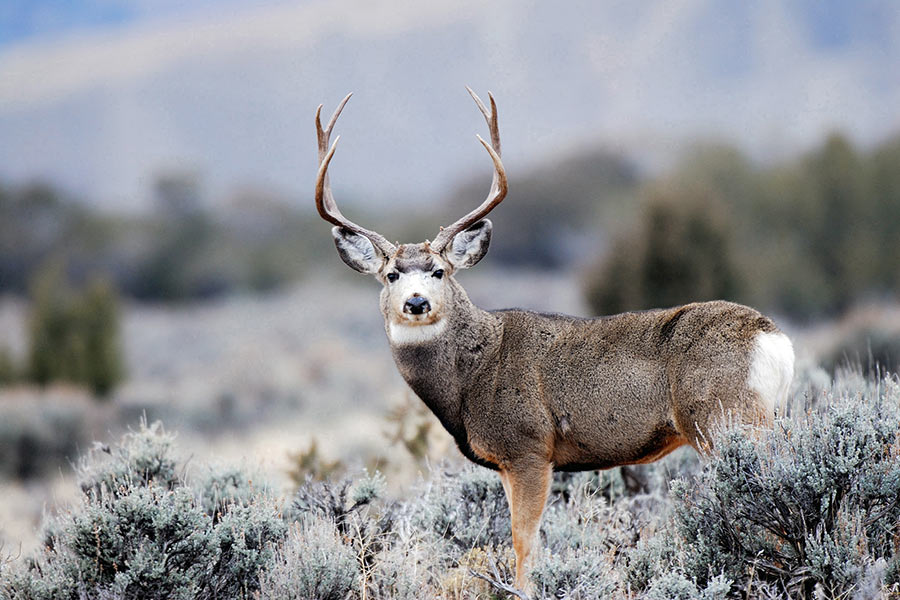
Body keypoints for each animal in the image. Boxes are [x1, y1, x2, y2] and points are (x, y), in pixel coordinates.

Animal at [312, 88, 796, 592]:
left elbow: (524, 542)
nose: (417, 302)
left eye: (439, 271)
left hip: (725, 417)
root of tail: (773, 338)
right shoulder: (508, 462)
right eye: (391, 275)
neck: (473, 374)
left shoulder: (528, 447)